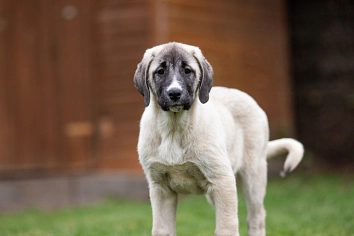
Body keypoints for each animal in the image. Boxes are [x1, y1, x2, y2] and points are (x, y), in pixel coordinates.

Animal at [133, 42, 304, 236]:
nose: (175, 93)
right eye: (160, 71)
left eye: (187, 70)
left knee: (256, 217)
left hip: (253, 175)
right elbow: (162, 229)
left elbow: (226, 228)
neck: (174, 129)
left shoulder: (223, 180)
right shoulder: (160, 188)